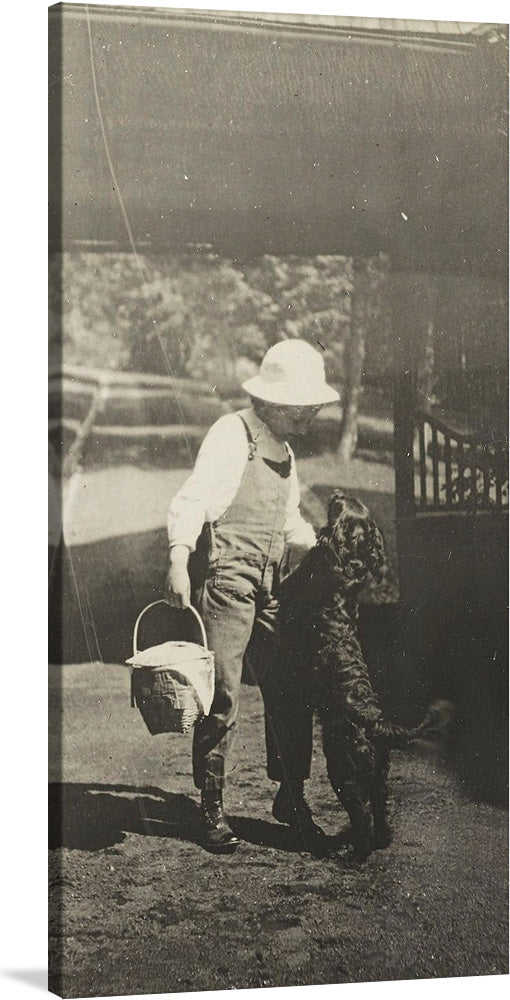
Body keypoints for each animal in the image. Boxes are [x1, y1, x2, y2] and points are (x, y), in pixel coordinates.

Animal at [272, 490, 452, 860]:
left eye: (339, 507)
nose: (337, 493)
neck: (348, 563)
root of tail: (377, 724)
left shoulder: (293, 585)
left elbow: (283, 576)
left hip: (344, 773)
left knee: (364, 820)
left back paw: (350, 853)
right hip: (379, 777)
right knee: (382, 816)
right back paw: (375, 842)